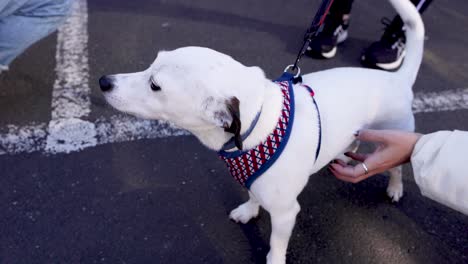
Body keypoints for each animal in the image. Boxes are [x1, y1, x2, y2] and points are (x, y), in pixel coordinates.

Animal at [98, 0, 424, 262]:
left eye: (155, 85)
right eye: (150, 65)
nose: (103, 81)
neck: (260, 125)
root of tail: (397, 79)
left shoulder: (285, 213)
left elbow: (276, 245)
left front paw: (274, 259)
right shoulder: (254, 182)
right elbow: (253, 196)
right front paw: (248, 210)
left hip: (394, 133)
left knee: (396, 168)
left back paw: (395, 188)